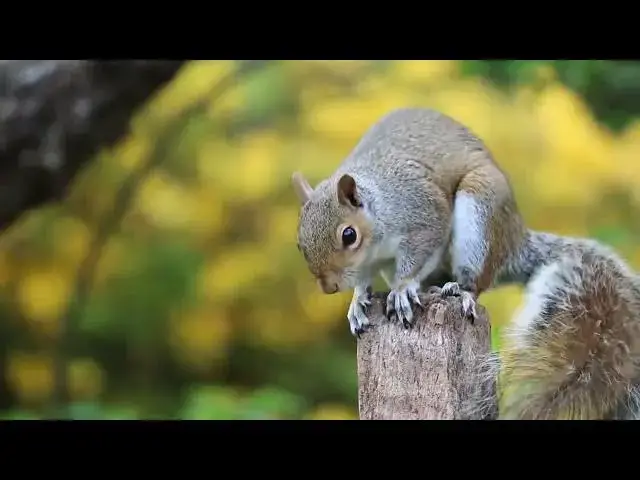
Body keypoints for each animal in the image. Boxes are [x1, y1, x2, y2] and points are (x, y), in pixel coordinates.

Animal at [291, 107, 640, 420]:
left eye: (348, 235)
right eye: (299, 242)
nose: (329, 287)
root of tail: (513, 242)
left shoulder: (424, 215)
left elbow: (420, 253)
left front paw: (402, 290)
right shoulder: (368, 263)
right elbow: (363, 281)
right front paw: (357, 301)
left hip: (479, 215)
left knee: (477, 280)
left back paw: (459, 290)